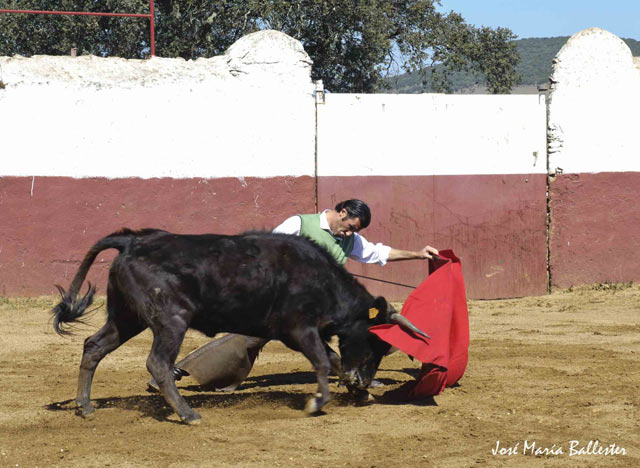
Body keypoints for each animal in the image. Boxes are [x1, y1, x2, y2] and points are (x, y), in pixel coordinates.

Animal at [52, 229, 428, 426]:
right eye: (376, 342)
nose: (363, 381)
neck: (320, 278)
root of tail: (133, 240)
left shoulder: (309, 333)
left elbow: (333, 359)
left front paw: (357, 393)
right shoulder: (298, 330)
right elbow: (324, 361)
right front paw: (318, 402)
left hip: (126, 317)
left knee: (94, 346)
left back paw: (85, 406)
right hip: (171, 319)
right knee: (157, 363)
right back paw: (188, 414)